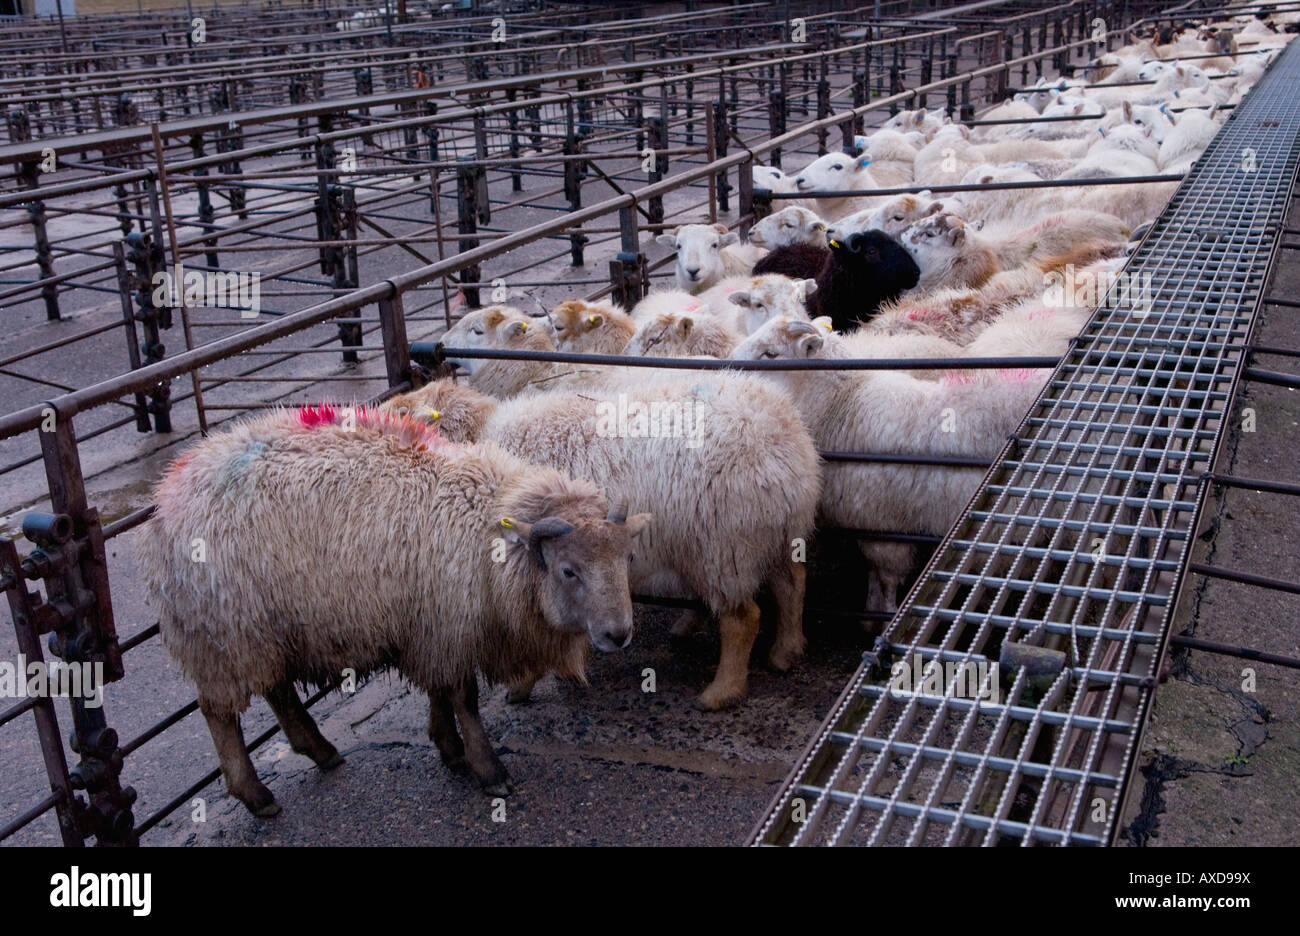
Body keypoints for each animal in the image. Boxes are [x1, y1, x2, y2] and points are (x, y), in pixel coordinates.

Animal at [135, 404, 650, 812]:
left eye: (626, 558)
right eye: (568, 570)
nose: (620, 634)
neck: (484, 530)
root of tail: (170, 494)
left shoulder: (429, 626)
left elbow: (441, 691)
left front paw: (448, 747)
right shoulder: (444, 623)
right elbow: (464, 699)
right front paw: (488, 769)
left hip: (261, 627)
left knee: (277, 691)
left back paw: (319, 749)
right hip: (223, 630)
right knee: (220, 713)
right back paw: (256, 795)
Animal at [395, 376, 821, 711]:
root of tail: (785, 439)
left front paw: (522, 685)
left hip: (721, 545)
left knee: (742, 619)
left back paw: (721, 692)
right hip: (773, 534)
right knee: (792, 583)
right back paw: (786, 651)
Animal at [732, 317, 1049, 613]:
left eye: (770, 353)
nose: (729, 365)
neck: (843, 404)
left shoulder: (882, 523)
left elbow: (888, 577)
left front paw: (887, 611)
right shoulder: (869, 526)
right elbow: (873, 571)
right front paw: (871, 607)